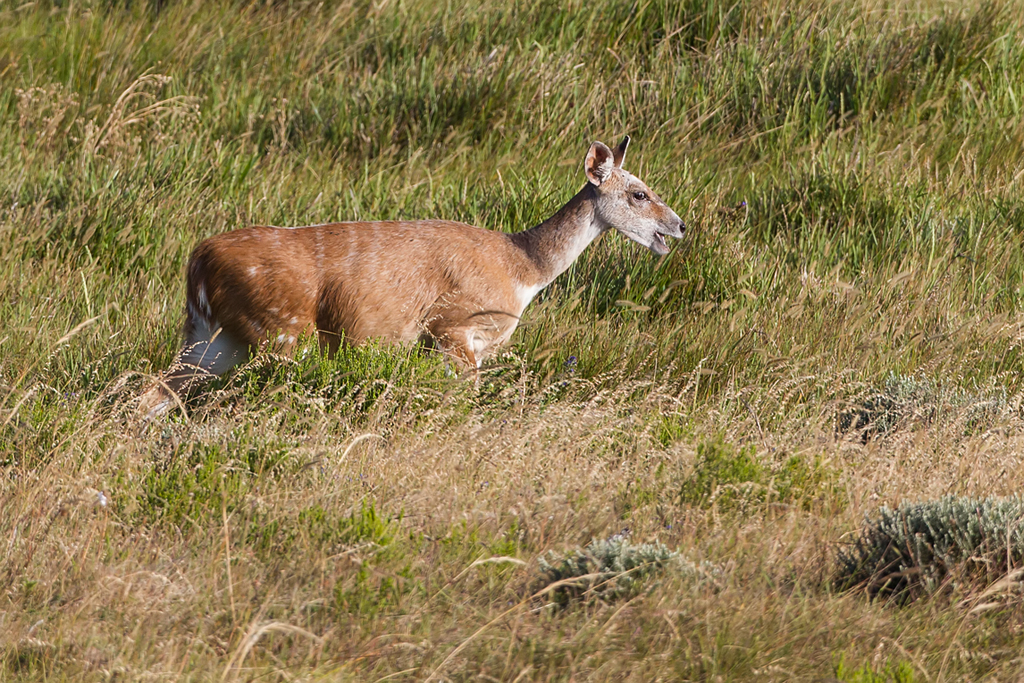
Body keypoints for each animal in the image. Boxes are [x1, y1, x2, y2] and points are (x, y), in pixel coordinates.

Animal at [136, 135, 679, 413]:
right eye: (639, 193)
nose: (679, 225)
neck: (522, 266)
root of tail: (198, 260)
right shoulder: (452, 324)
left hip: (212, 339)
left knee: (153, 392)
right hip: (282, 330)